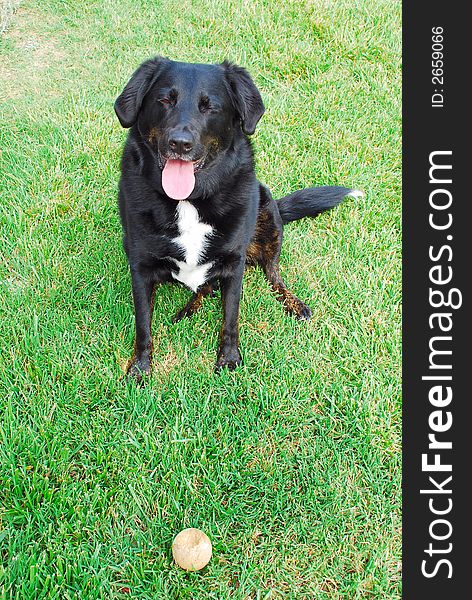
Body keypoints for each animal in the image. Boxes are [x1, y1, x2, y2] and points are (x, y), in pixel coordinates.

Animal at [115, 56, 362, 380]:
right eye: (165, 100)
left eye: (210, 106)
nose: (179, 143)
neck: (189, 200)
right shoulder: (141, 267)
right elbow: (143, 325)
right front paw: (141, 369)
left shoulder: (234, 263)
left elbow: (230, 319)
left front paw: (229, 359)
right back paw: (188, 309)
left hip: (267, 211)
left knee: (273, 274)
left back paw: (293, 304)